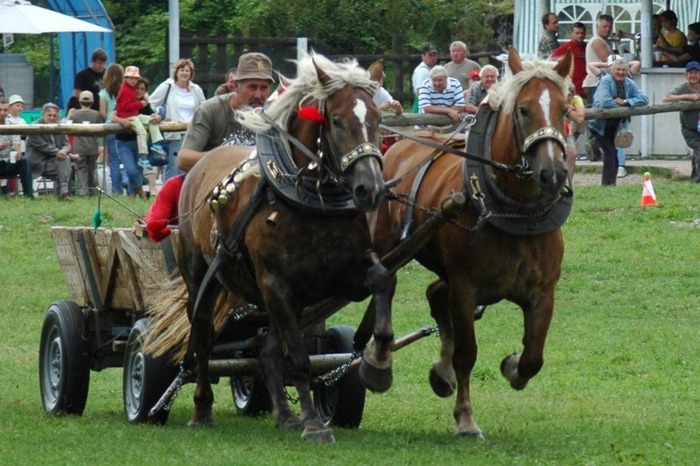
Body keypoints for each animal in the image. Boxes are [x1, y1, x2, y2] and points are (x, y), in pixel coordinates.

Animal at [176, 52, 394, 442]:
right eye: (337, 121)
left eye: (378, 119)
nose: (371, 188)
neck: (311, 204)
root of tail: (201, 164)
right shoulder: (275, 282)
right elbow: (300, 360)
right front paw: (314, 424)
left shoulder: (343, 275)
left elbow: (383, 279)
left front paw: (378, 364)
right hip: (204, 277)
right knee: (202, 336)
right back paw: (202, 409)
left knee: (265, 350)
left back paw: (284, 414)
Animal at [370, 48, 572, 440]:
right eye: (523, 109)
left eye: (565, 110)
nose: (552, 173)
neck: (513, 211)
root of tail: (400, 143)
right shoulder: (465, 288)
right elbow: (467, 352)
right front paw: (465, 418)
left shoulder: (543, 292)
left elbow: (533, 357)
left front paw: (511, 367)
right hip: (388, 245)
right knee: (383, 283)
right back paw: (378, 358)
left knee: (434, 293)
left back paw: (440, 371)